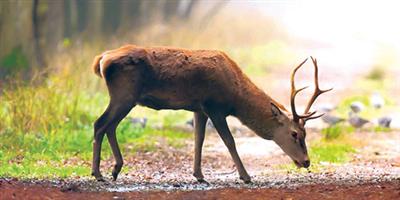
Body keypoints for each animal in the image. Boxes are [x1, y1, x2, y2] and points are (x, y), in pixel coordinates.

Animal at [90, 45, 332, 183]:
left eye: (305, 134)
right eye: (295, 133)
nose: (306, 161)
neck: (235, 96)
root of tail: (101, 59)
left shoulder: (199, 108)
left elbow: (199, 139)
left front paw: (199, 176)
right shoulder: (215, 106)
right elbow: (229, 141)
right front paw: (246, 176)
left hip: (125, 98)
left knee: (109, 126)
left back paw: (115, 170)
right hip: (124, 94)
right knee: (100, 124)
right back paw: (98, 173)